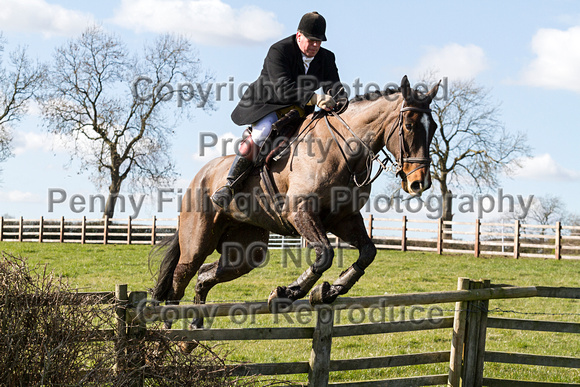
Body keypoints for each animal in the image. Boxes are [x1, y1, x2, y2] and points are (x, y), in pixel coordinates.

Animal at [152, 76, 438, 334]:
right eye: (409, 126)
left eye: (434, 127)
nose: (419, 183)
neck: (342, 150)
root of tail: (200, 175)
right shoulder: (300, 212)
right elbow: (325, 254)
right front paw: (289, 293)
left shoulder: (343, 219)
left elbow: (367, 252)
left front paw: (331, 290)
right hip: (198, 240)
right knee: (180, 277)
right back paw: (169, 332)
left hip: (246, 251)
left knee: (204, 275)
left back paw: (195, 328)